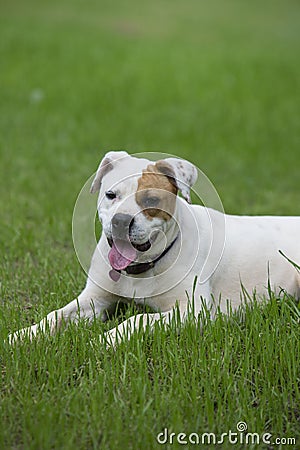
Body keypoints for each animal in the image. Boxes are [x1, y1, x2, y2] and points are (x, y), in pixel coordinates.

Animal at [9, 151, 300, 344]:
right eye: (110, 195)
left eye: (150, 200)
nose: (121, 221)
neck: (143, 267)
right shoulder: (94, 299)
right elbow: (55, 315)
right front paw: (23, 335)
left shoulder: (193, 311)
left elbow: (137, 320)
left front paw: (104, 340)